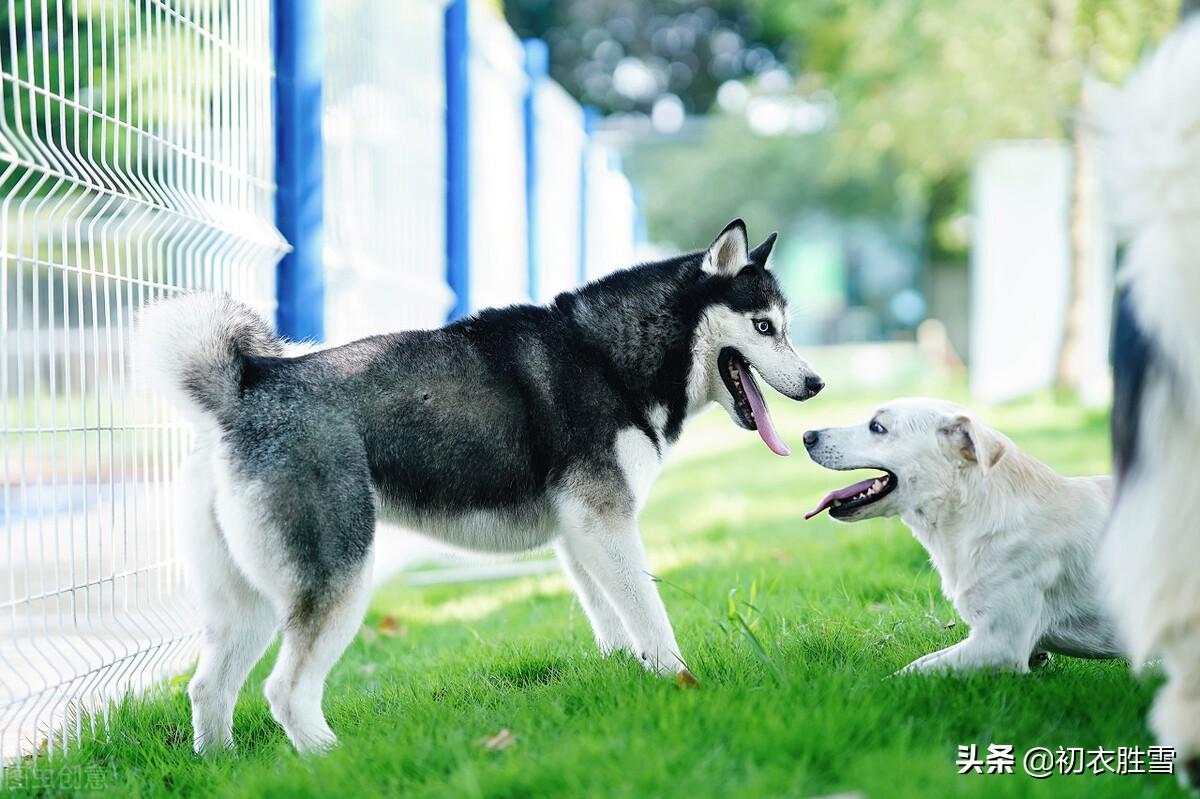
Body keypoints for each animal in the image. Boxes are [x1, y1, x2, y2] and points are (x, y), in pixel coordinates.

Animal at [136, 219, 820, 753]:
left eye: (786, 325)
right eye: (764, 327)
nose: (816, 383)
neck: (609, 359)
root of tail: (247, 385)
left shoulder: (582, 535)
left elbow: (614, 622)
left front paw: (633, 677)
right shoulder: (606, 523)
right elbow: (650, 617)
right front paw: (681, 684)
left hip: (249, 601)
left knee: (209, 687)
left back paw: (222, 765)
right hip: (339, 579)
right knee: (285, 691)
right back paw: (331, 759)